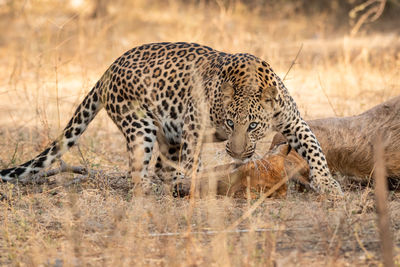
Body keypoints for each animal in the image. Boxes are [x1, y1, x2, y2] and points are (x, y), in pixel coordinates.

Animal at [0, 42, 340, 197]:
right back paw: (152, 191)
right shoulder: (194, 122)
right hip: (140, 125)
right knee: (138, 172)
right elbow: (192, 160)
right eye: (231, 124)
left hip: (168, 134)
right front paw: (196, 182)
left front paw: (328, 184)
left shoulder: (294, 121)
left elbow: (314, 149)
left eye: (254, 126)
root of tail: (109, 68)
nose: (237, 152)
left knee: (162, 167)